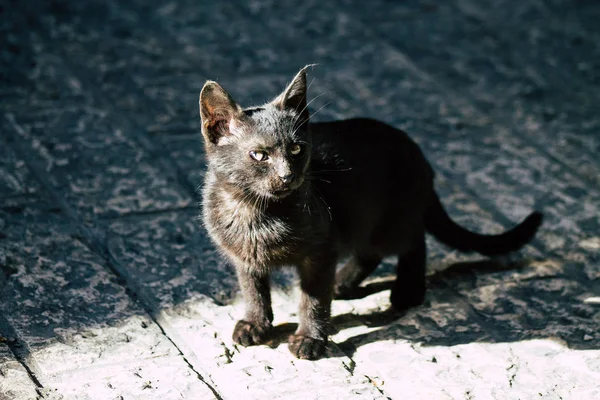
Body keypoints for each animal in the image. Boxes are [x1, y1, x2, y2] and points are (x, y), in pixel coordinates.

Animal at [198, 65, 544, 360]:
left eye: (296, 149)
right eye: (259, 155)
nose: (287, 176)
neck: (258, 213)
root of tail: (419, 154)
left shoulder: (321, 251)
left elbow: (313, 298)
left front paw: (310, 338)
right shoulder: (244, 255)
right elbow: (253, 290)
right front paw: (256, 324)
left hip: (390, 220)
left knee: (414, 241)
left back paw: (406, 292)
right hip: (362, 221)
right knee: (371, 252)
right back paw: (344, 282)